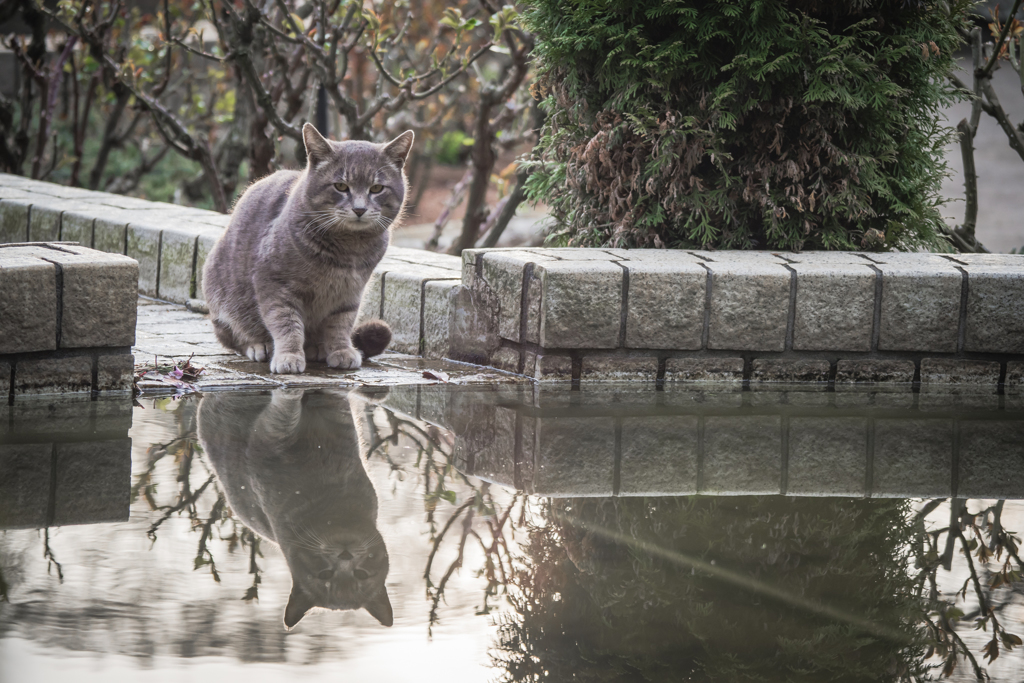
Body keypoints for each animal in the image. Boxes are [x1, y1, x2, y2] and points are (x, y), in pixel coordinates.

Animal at [197, 389, 393, 630]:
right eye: (325, 574)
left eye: (361, 574)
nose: (345, 556)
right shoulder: (271, 433)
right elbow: (286, 411)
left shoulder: (336, 418)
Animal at [201, 122, 413, 374]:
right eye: (341, 186)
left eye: (377, 188)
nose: (360, 209)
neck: (349, 249)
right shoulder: (275, 284)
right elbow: (286, 323)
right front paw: (289, 356)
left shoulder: (350, 292)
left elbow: (341, 323)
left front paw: (341, 350)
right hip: (223, 299)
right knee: (234, 337)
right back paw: (259, 345)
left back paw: (318, 348)